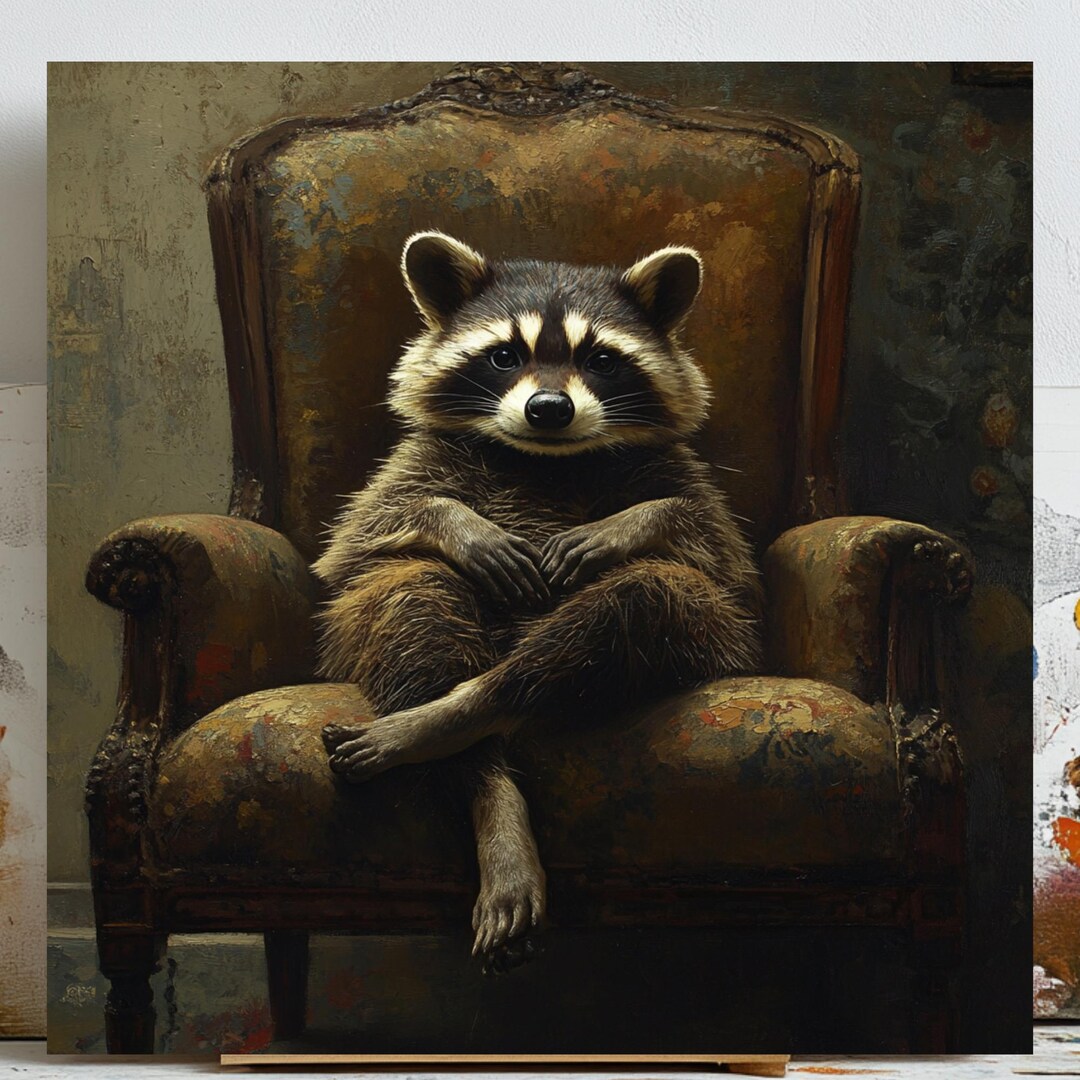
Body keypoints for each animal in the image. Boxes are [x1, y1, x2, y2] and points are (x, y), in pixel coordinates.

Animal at [313, 231, 762, 972]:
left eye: (601, 360)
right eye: (504, 356)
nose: (548, 409)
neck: (546, 459)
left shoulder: (677, 474)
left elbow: (711, 547)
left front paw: (629, 524)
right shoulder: (417, 462)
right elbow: (361, 541)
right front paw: (457, 524)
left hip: (702, 635)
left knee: (643, 601)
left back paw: (469, 704)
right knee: (411, 592)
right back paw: (475, 778)